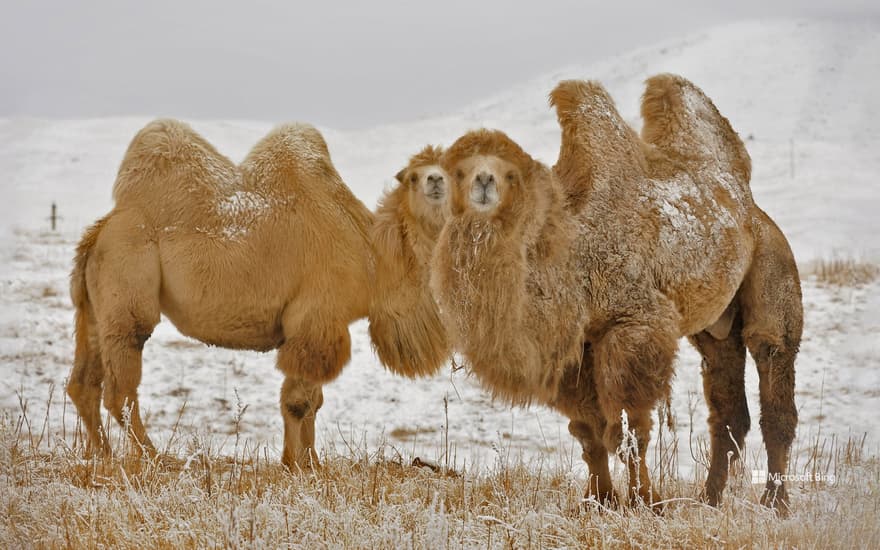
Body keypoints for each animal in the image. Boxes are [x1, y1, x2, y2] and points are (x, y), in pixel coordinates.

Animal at [66, 121, 450, 470]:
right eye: (413, 177)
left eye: (449, 171)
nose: (436, 181)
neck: (371, 256)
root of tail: (99, 231)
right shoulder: (316, 319)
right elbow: (299, 401)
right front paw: (297, 465)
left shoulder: (319, 326)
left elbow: (314, 400)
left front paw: (311, 463)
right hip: (127, 281)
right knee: (121, 387)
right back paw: (156, 458)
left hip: (96, 306)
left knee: (84, 384)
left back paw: (101, 456)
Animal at [430, 75, 800, 516]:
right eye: (457, 171)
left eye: (509, 174)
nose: (483, 183)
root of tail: (751, 208)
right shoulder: (577, 348)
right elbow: (588, 433)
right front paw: (599, 501)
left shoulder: (632, 327)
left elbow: (629, 431)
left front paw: (647, 504)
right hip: (716, 326)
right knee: (727, 408)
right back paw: (707, 500)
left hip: (773, 265)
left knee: (773, 370)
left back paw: (775, 503)